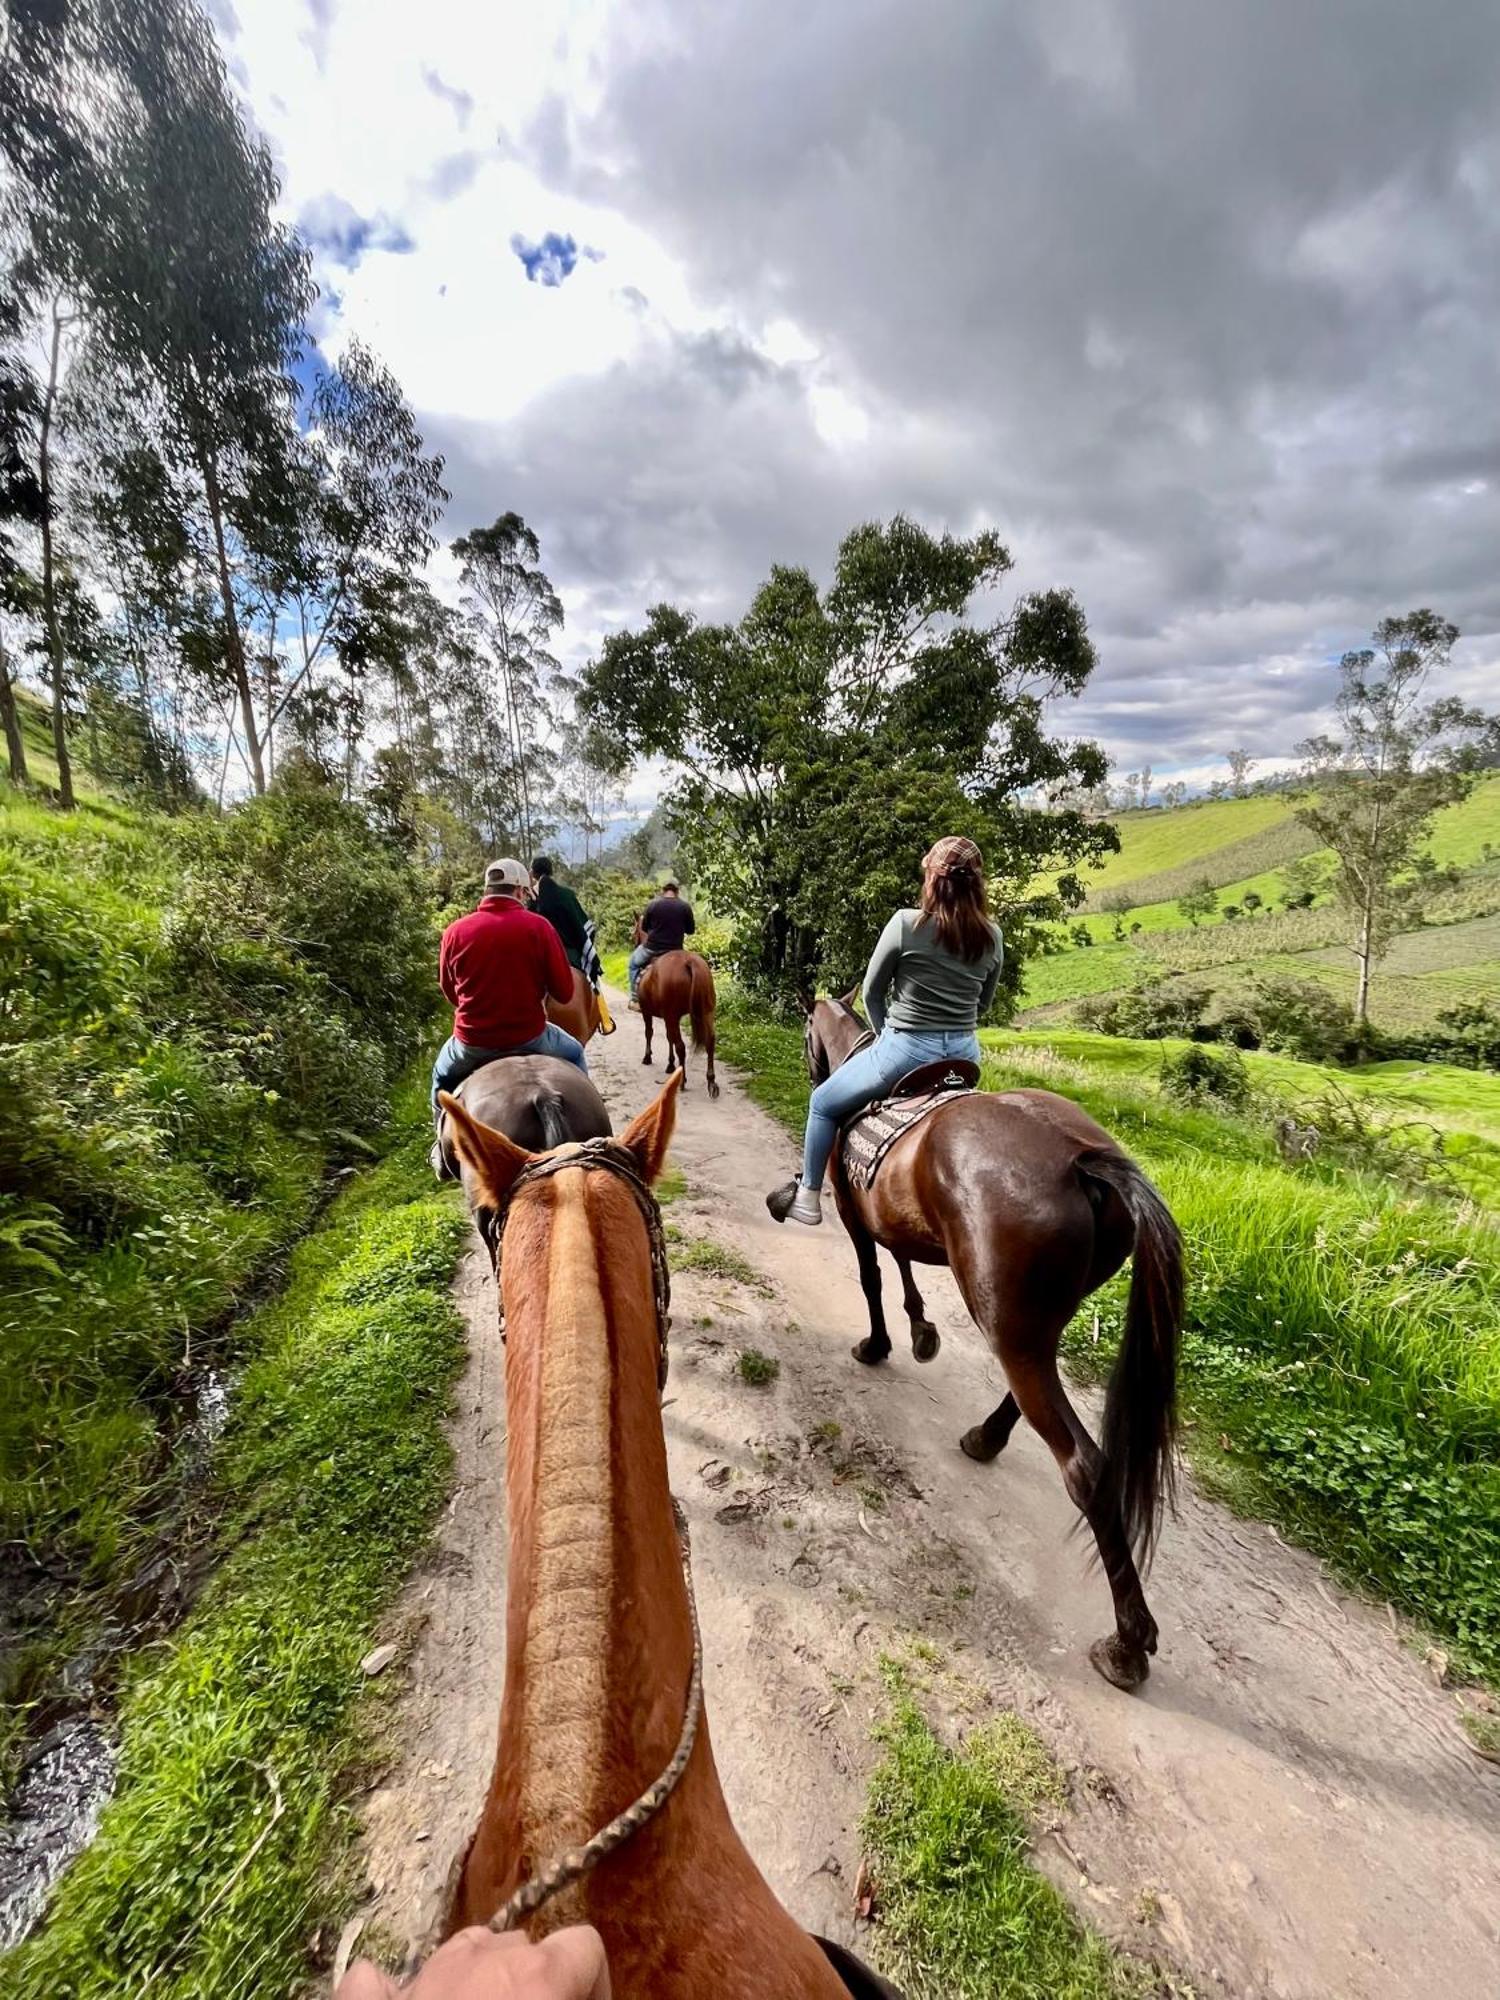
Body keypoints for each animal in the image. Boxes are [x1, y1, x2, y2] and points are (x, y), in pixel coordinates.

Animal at [640, 948, 724, 1104]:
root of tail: (689, 962)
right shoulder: (669, 1018)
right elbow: (669, 1038)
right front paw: (670, 1065)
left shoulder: (647, 1012)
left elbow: (650, 1032)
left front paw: (648, 1057)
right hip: (707, 1011)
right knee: (710, 1042)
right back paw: (711, 1082)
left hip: (671, 1015)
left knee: (681, 1046)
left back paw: (682, 1081)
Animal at [804, 1000, 1184, 1688]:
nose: (813, 1071)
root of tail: (1082, 1161)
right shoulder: (894, 1219)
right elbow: (902, 1261)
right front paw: (920, 1330)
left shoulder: (852, 1214)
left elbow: (874, 1275)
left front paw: (880, 1344)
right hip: (1031, 1320)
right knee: (1028, 1386)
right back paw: (986, 1437)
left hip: (1008, 1320)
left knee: (1083, 1465)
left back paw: (1126, 1643)